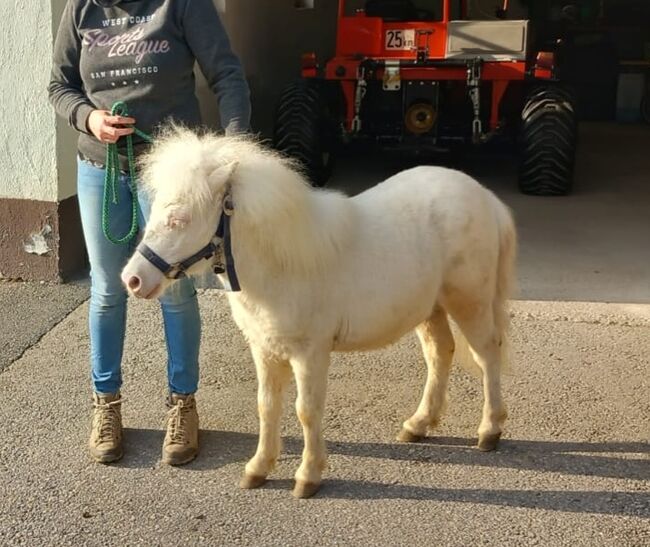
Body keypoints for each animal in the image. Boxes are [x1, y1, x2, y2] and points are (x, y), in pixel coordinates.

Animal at [121, 128, 516, 500]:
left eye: (179, 219)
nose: (133, 279)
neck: (283, 262)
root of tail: (486, 198)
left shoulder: (310, 353)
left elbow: (306, 410)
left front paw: (308, 476)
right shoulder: (265, 350)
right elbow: (267, 406)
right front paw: (258, 468)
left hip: (469, 301)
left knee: (487, 354)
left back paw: (489, 430)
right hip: (430, 308)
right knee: (441, 353)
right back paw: (418, 424)